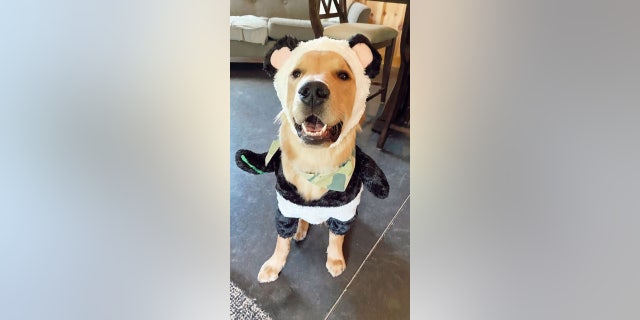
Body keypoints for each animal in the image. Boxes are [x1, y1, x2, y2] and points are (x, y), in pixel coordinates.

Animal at [232, 33, 388, 282]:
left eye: (343, 75)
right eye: (296, 73)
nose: (313, 90)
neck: (315, 163)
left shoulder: (343, 212)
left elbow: (337, 237)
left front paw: (335, 259)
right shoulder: (285, 208)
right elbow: (281, 241)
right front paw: (274, 264)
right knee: (303, 218)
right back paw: (301, 229)